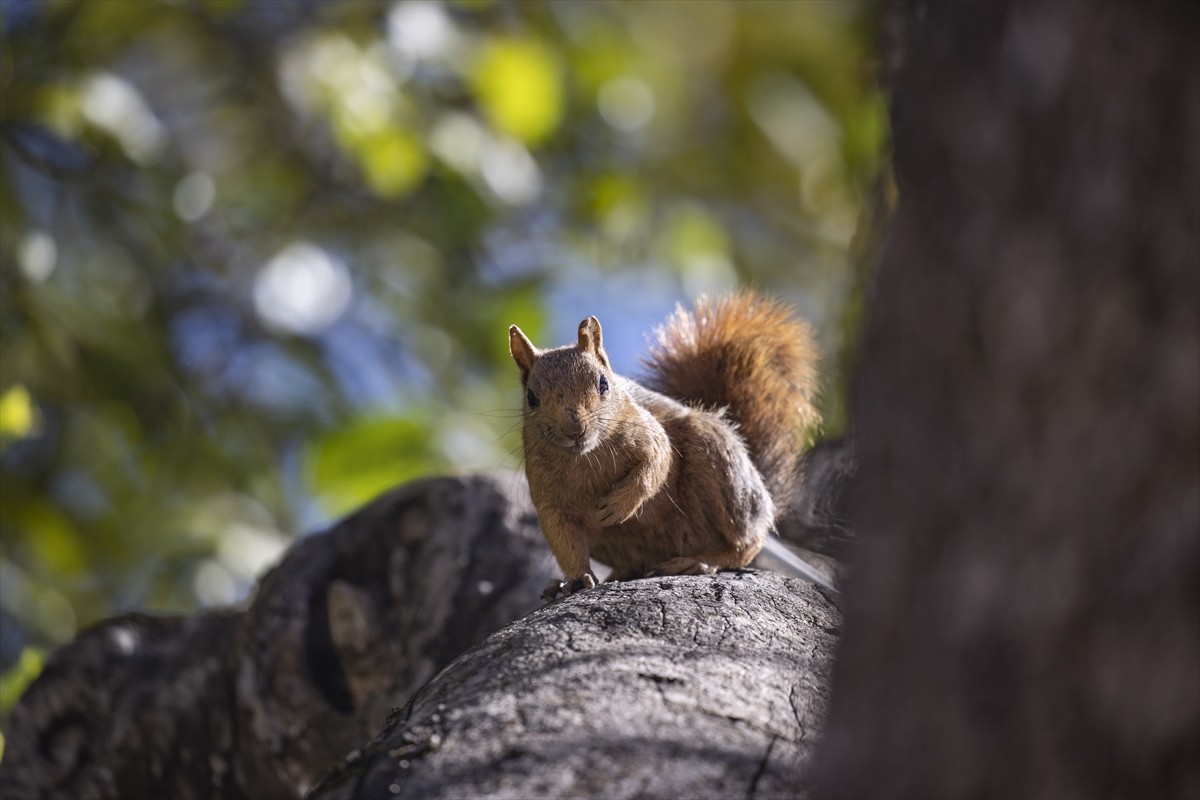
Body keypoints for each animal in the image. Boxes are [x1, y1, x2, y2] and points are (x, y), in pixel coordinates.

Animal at [506, 289, 825, 599]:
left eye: (603, 384)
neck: (585, 456)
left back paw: (701, 561)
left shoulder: (649, 434)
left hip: (718, 461)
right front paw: (575, 580)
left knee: (746, 543)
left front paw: (619, 506)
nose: (574, 429)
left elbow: (656, 464)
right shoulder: (550, 500)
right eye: (531, 398)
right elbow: (564, 541)